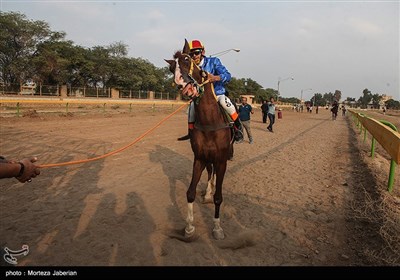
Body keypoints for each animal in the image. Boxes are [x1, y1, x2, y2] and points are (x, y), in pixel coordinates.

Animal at [166, 40, 234, 241]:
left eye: (187, 59)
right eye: (171, 68)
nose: (182, 84)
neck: (210, 122)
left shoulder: (221, 159)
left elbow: (219, 196)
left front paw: (217, 228)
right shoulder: (200, 158)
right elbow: (190, 192)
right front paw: (189, 227)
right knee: (210, 174)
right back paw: (207, 192)